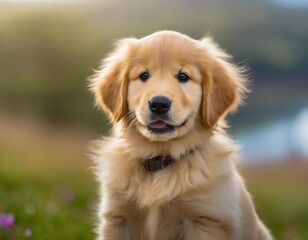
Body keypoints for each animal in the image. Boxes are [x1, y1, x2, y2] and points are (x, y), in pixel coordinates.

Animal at [89, 31, 272, 239]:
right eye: (144, 75)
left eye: (183, 76)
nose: (159, 104)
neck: (161, 160)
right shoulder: (117, 218)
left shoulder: (207, 220)